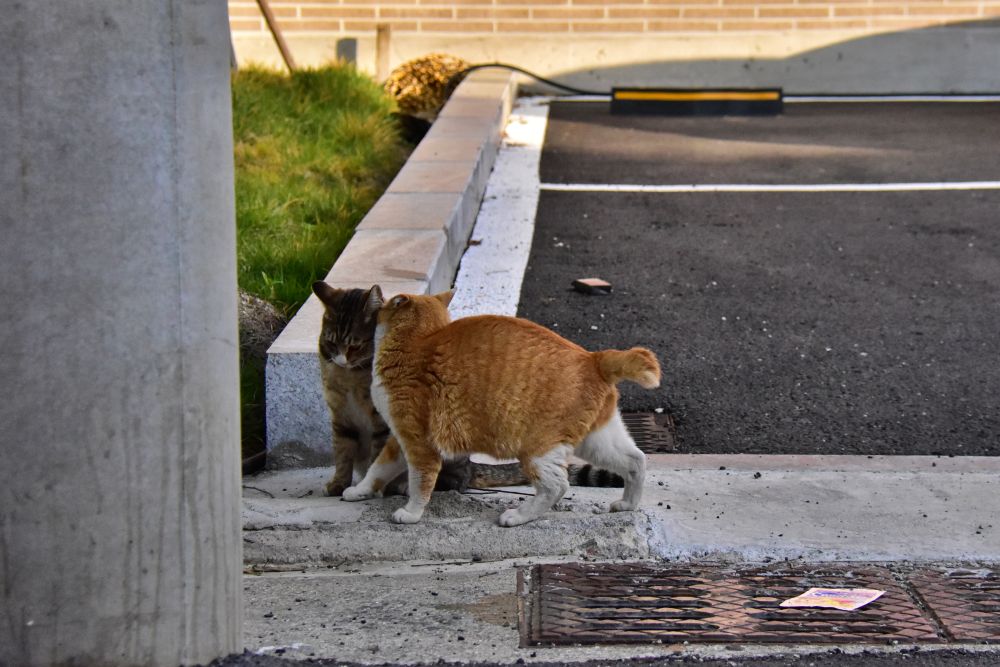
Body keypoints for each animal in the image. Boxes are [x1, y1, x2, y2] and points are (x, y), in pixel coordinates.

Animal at [344, 290, 664, 524]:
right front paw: (360, 491)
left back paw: (519, 516)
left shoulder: (419, 443)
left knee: (557, 485)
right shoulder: (399, 441)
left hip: (538, 450)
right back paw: (628, 504)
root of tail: (593, 358)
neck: (417, 343)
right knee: (636, 461)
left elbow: (420, 482)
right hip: (596, 441)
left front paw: (411, 513)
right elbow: (377, 470)